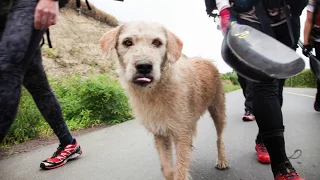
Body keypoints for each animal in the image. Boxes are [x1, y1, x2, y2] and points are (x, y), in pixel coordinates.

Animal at [100, 21, 228, 180]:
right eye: (127, 42)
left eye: (157, 42)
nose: (144, 66)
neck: (156, 90)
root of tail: (207, 60)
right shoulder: (161, 133)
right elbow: (168, 168)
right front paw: (175, 172)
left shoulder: (181, 132)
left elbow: (180, 166)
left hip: (218, 110)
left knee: (219, 138)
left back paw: (222, 159)